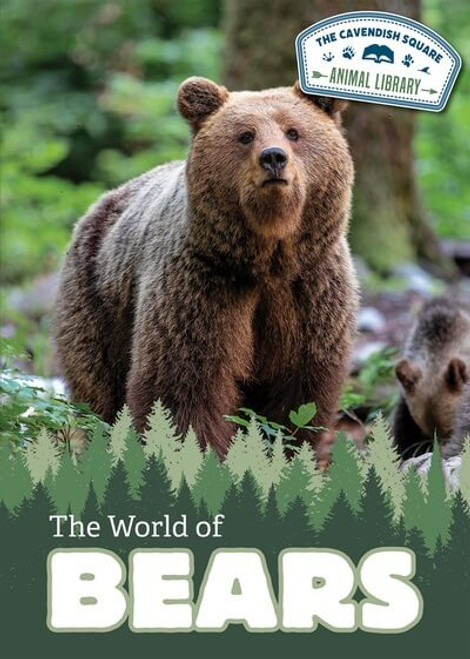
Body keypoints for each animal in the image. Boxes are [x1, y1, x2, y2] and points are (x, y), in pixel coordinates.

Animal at [54, 77, 358, 462]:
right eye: (245, 135)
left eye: (293, 131)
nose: (273, 157)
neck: (267, 259)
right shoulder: (202, 284)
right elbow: (185, 384)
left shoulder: (310, 290)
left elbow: (297, 397)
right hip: (97, 299)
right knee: (99, 390)